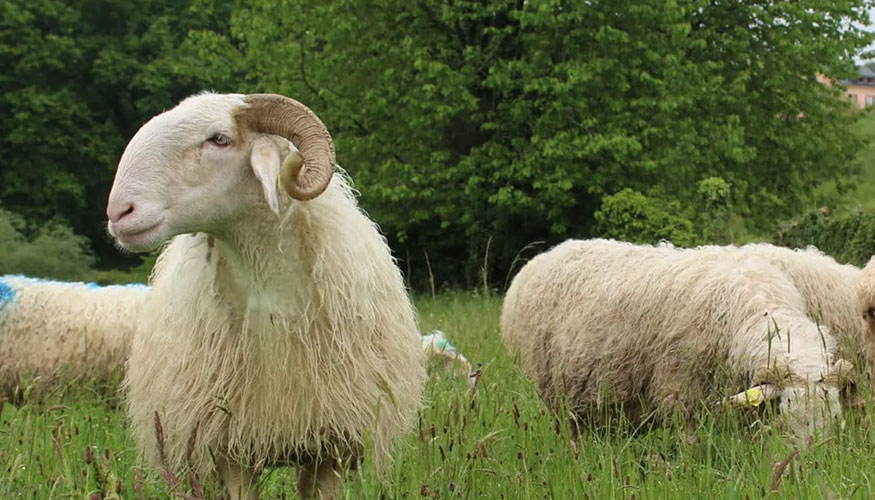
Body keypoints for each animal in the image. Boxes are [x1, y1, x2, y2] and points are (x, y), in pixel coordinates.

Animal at [501, 239, 853, 438]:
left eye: (835, 418)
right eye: (786, 415)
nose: (810, 465)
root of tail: (543, 257)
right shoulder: (681, 398)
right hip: (556, 398)